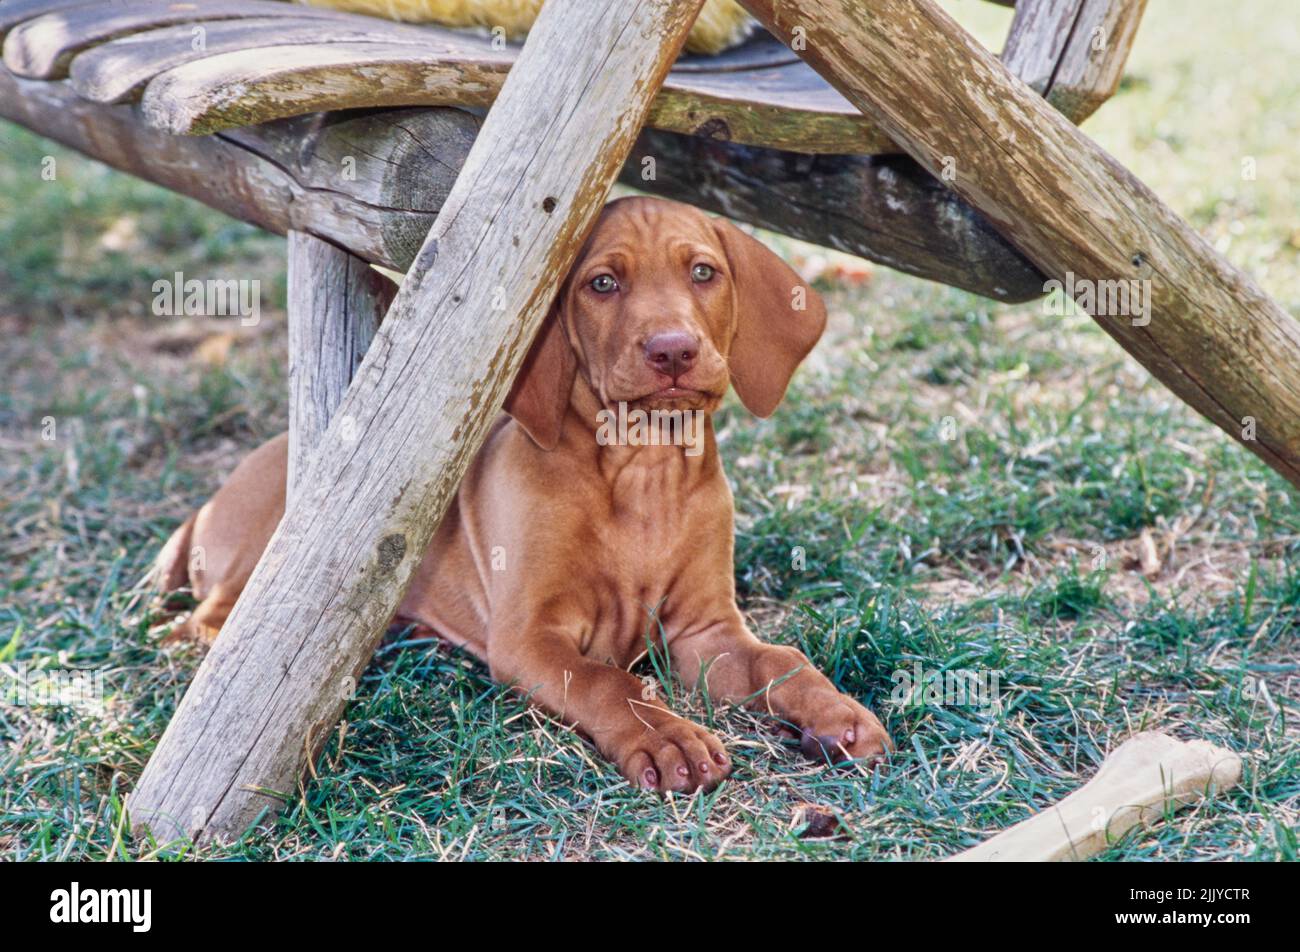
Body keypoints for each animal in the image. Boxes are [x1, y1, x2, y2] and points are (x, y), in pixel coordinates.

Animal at [157, 197, 894, 790]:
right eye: (603, 283)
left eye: (703, 272)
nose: (673, 351)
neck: (644, 474)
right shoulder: (530, 636)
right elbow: (608, 681)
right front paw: (666, 737)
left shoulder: (706, 633)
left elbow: (782, 660)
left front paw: (835, 714)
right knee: (206, 619)